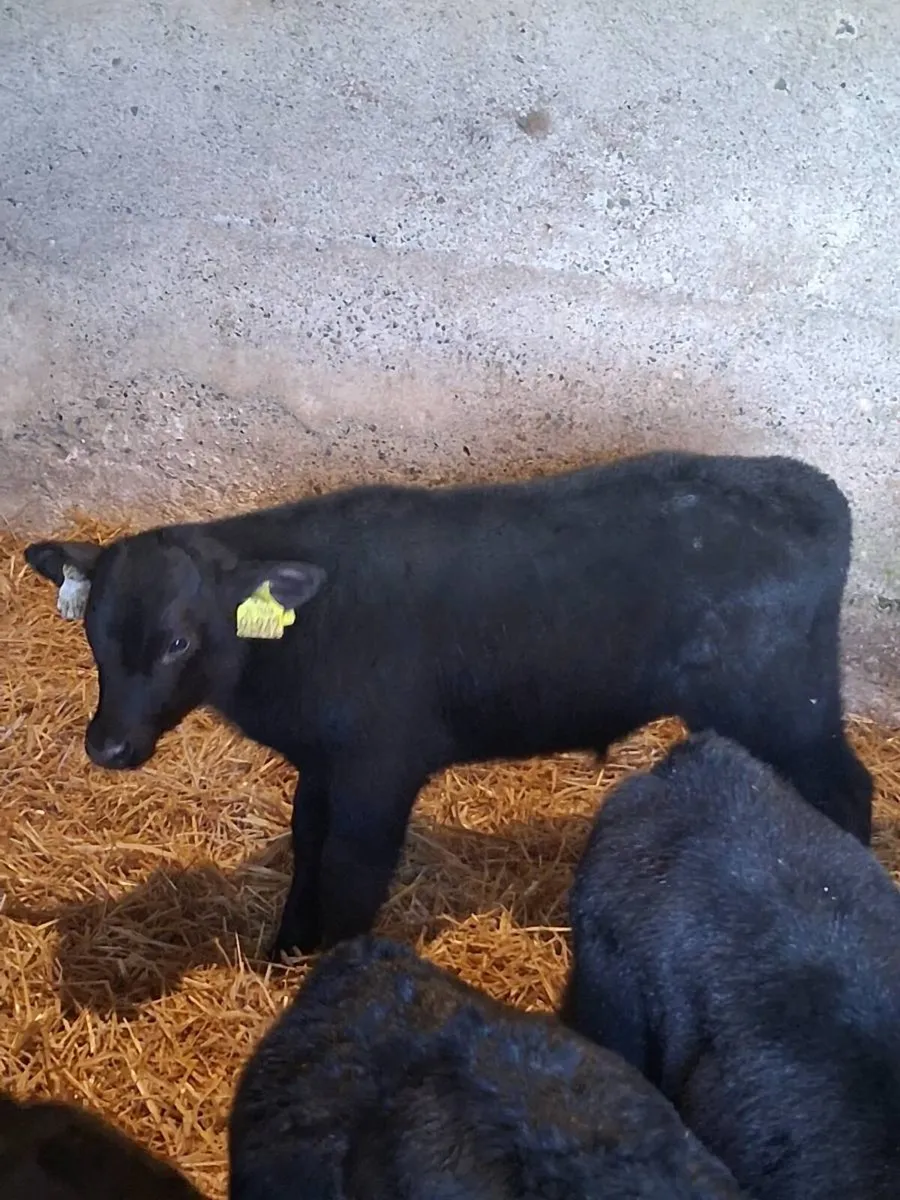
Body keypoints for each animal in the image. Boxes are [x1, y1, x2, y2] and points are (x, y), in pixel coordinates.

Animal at [24, 451, 872, 957]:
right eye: (93, 630)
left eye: (177, 641)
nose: (108, 747)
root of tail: (810, 487)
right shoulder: (325, 763)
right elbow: (307, 845)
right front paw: (287, 949)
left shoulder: (379, 766)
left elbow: (353, 871)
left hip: (784, 695)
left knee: (846, 788)